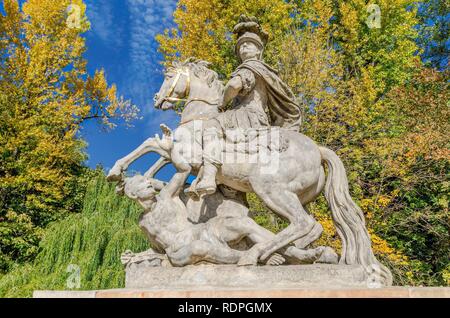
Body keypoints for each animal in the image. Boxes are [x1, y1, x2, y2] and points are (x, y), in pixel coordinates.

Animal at [107, 59, 392, 286]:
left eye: (168, 76)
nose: (157, 100)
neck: (200, 116)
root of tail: (319, 150)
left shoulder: (185, 156)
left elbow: (152, 146)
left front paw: (117, 173)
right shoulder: (176, 154)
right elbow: (155, 152)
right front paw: (127, 179)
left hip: (270, 189)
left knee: (302, 223)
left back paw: (256, 256)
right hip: (295, 196)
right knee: (312, 227)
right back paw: (302, 254)